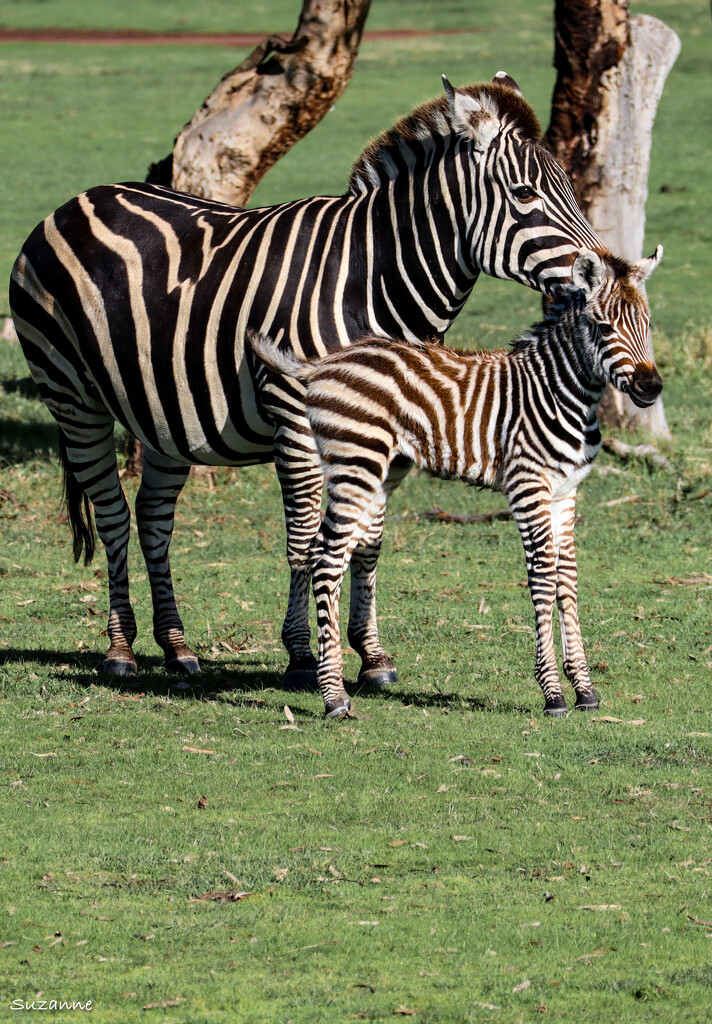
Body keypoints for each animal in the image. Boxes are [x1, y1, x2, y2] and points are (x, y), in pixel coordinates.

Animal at [11, 72, 606, 679]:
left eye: (571, 188)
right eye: (525, 195)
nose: (601, 274)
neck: (372, 278)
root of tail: (77, 200)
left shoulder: (388, 431)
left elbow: (369, 539)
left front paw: (370, 654)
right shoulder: (295, 414)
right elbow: (304, 538)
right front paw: (302, 653)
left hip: (164, 414)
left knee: (154, 517)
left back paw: (176, 646)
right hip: (73, 397)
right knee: (112, 512)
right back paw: (120, 649)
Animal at [250, 245, 663, 720]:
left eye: (647, 325)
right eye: (604, 327)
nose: (652, 387)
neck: (562, 391)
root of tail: (324, 363)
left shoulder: (565, 492)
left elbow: (568, 580)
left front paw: (585, 688)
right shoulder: (528, 486)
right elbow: (543, 576)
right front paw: (553, 693)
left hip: (375, 470)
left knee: (334, 550)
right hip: (356, 463)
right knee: (326, 558)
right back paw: (334, 697)